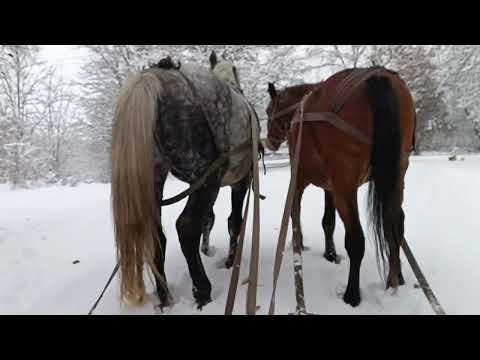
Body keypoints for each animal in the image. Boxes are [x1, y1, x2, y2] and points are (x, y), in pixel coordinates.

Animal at [111, 51, 258, 310]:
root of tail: (152, 79)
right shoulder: (238, 181)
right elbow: (234, 222)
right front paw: (231, 262)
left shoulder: (195, 184)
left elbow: (208, 220)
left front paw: (207, 250)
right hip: (208, 177)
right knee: (186, 228)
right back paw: (202, 290)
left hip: (156, 180)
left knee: (157, 234)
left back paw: (165, 296)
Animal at [266, 67, 416, 306]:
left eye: (268, 110)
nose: (270, 141)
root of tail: (377, 77)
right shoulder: (331, 187)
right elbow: (328, 221)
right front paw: (330, 254)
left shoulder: (299, 180)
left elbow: (294, 214)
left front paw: (298, 246)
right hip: (395, 177)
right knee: (395, 225)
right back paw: (396, 278)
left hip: (346, 188)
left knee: (356, 239)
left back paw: (352, 294)